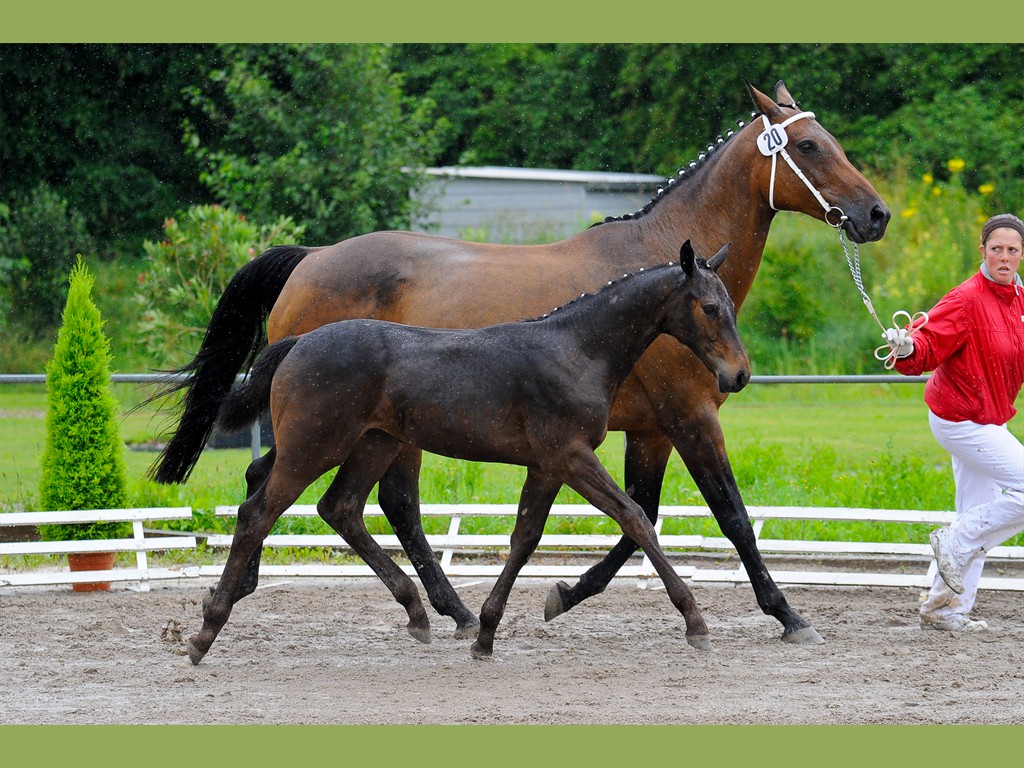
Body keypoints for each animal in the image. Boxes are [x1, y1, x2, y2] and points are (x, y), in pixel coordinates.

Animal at [190, 243, 753, 663]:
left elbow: (525, 539)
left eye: (729, 306)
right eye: (709, 308)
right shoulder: (571, 457)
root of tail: (299, 344)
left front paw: (484, 633)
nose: (739, 374)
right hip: (312, 448)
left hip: (375, 444)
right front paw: (696, 622)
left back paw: (418, 612)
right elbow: (635, 518)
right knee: (258, 512)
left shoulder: (546, 467)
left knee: (340, 507)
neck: (575, 349)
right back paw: (205, 633)